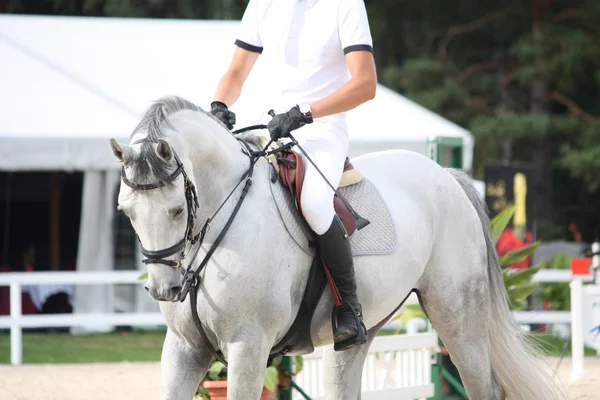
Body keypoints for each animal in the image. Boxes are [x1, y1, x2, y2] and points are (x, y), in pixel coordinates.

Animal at [109, 97, 568, 400]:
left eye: (175, 210)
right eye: (125, 211)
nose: (166, 289)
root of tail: (447, 175)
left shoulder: (247, 347)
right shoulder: (185, 349)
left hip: (458, 316)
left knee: (483, 385)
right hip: (362, 328)